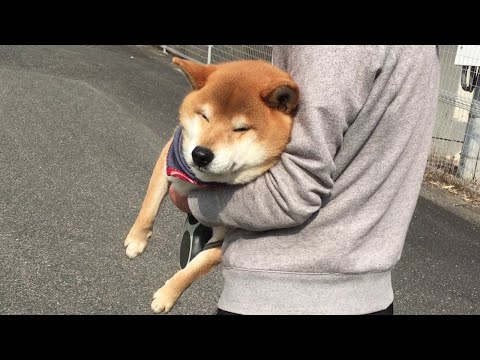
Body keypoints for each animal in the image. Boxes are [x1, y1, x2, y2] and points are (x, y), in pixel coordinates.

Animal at [122, 55, 298, 312]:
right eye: (204, 116)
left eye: (241, 128)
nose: (200, 154)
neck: (200, 182)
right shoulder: (167, 158)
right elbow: (149, 206)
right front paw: (136, 240)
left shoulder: (225, 238)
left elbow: (192, 270)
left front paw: (167, 295)